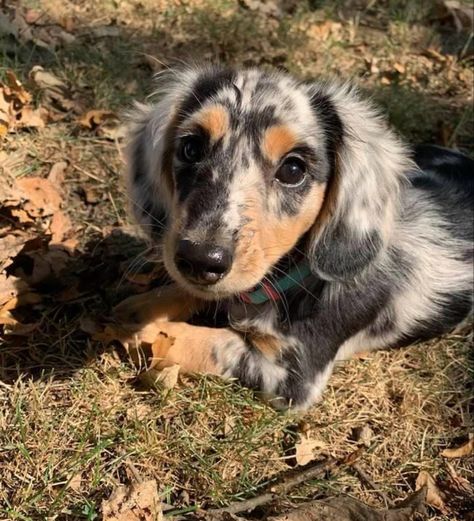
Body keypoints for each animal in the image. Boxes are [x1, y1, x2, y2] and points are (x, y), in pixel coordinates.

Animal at [115, 65, 474, 408]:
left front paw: (148, 331)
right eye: (191, 148)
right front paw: (142, 307)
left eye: (293, 169)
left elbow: (208, 342)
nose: (200, 259)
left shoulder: (292, 373)